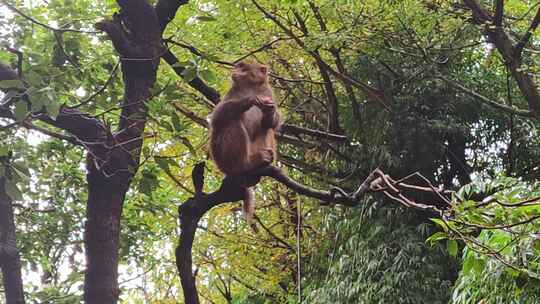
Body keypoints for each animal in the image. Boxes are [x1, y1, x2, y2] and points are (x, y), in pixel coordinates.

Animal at [209, 60, 280, 226]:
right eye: (238, 67)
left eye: (244, 68)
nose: (235, 72)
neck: (250, 87)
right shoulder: (232, 93)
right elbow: (217, 119)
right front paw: (250, 100)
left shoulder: (268, 92)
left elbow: (273, 123)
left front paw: (270, 112)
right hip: (223, 157)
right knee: (233, 122)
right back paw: (246, 163)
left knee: (266, 127)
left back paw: (261, 160)